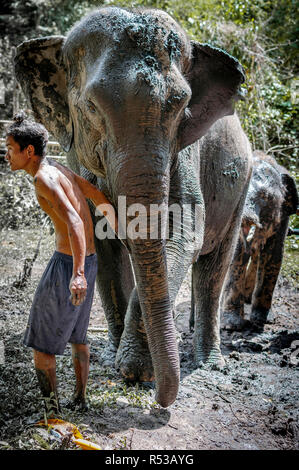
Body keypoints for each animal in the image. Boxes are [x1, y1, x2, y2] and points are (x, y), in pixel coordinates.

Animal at [15, 6, 252, 408]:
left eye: (182, 107)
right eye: (91, 107)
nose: (162, 399)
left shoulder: (184, 154)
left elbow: (180, 239)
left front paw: (136, 371)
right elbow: (101, 245)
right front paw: (118, 361)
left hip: (242, 182)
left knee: (213, 268)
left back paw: (210, 365)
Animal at [221, 151, 298, 330]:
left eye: (265, 197)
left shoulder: (282, 218)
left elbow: (274, 254)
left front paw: (262, 319)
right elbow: (236, 254)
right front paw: (232, 326)